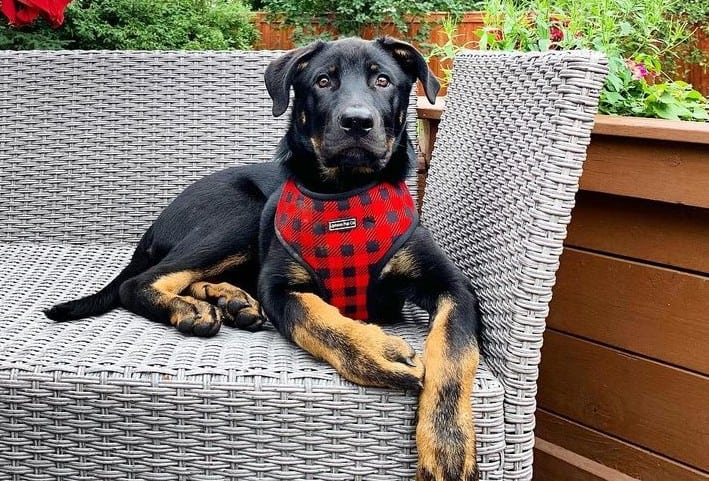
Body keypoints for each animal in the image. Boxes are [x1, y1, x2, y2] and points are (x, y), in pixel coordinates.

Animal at [44, 35, 482, 478]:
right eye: (323, 81)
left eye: (383, 80)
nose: (357, 122)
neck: (344, 197)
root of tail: (157, 223)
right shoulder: (278, 287)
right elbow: (316, 320)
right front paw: (375, 352)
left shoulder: (453, 287)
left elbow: (453, 351)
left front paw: (447, 445)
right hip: (241, 215)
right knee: (139, 282)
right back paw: (193, 308)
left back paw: (229, 300)